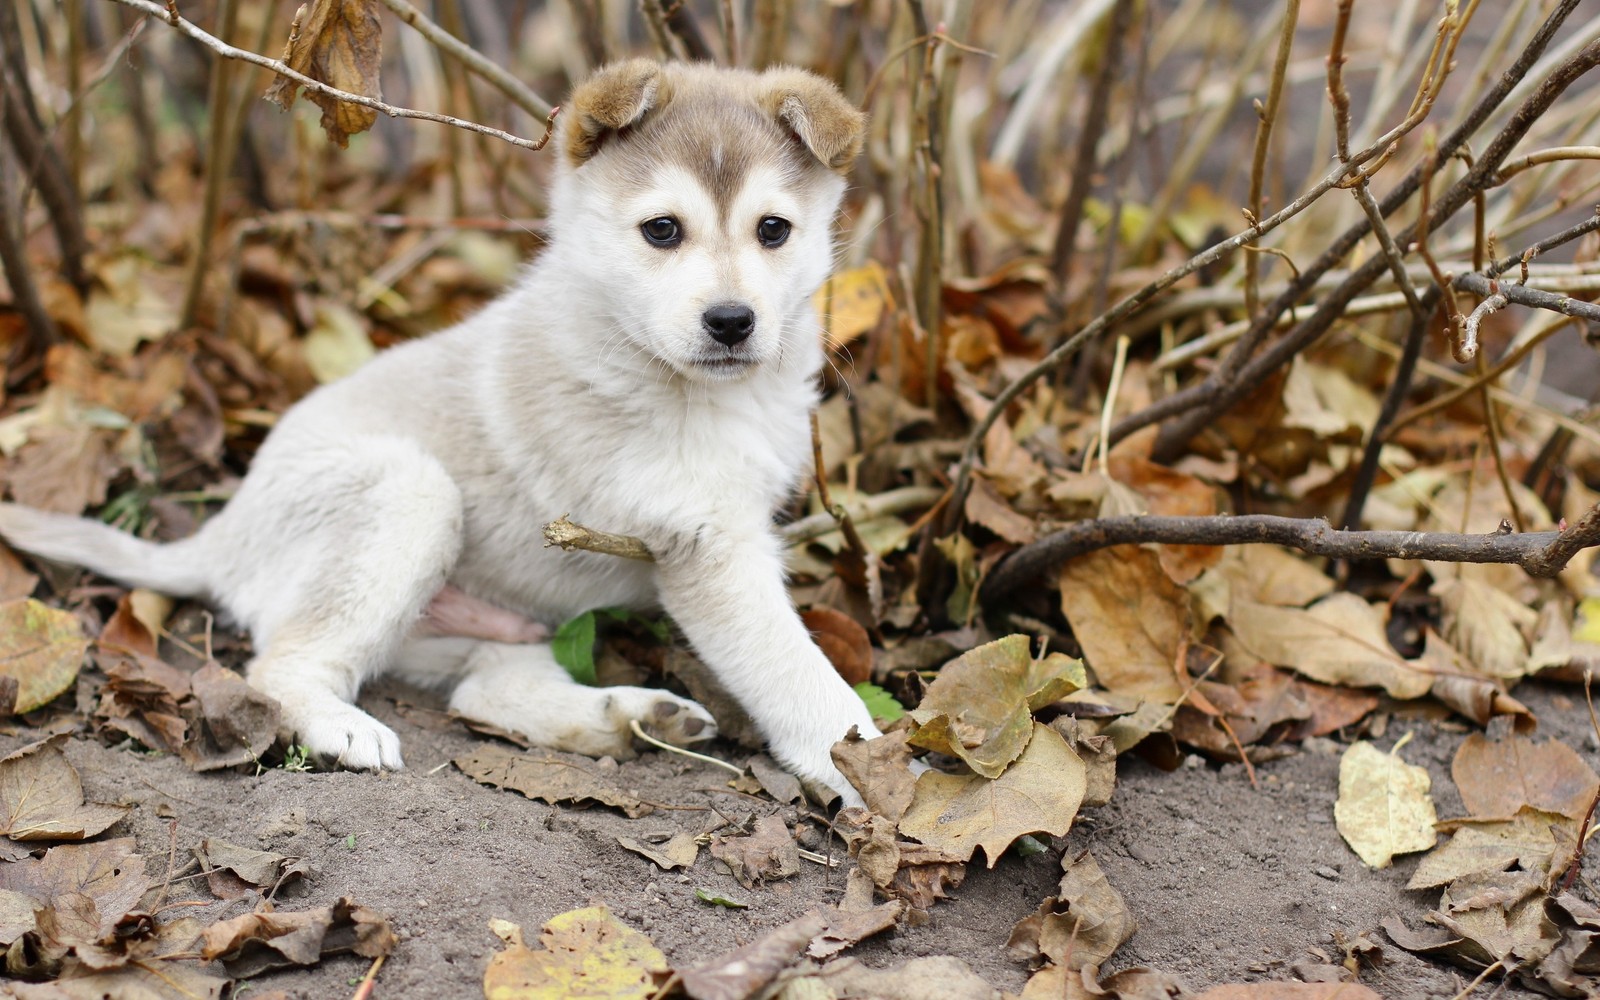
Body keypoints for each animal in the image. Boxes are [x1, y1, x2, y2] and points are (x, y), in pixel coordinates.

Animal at [0, 58, 883, 800]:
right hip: (410, 495)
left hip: (501, 620)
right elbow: (798, 674)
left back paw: (628, 720)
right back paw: (343, 729)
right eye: (662, 230)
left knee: (484, 691)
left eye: (774, 230)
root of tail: (223, 532)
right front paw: (867, 768)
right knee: (283, 665)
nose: (732, 322)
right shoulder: (709, 548)